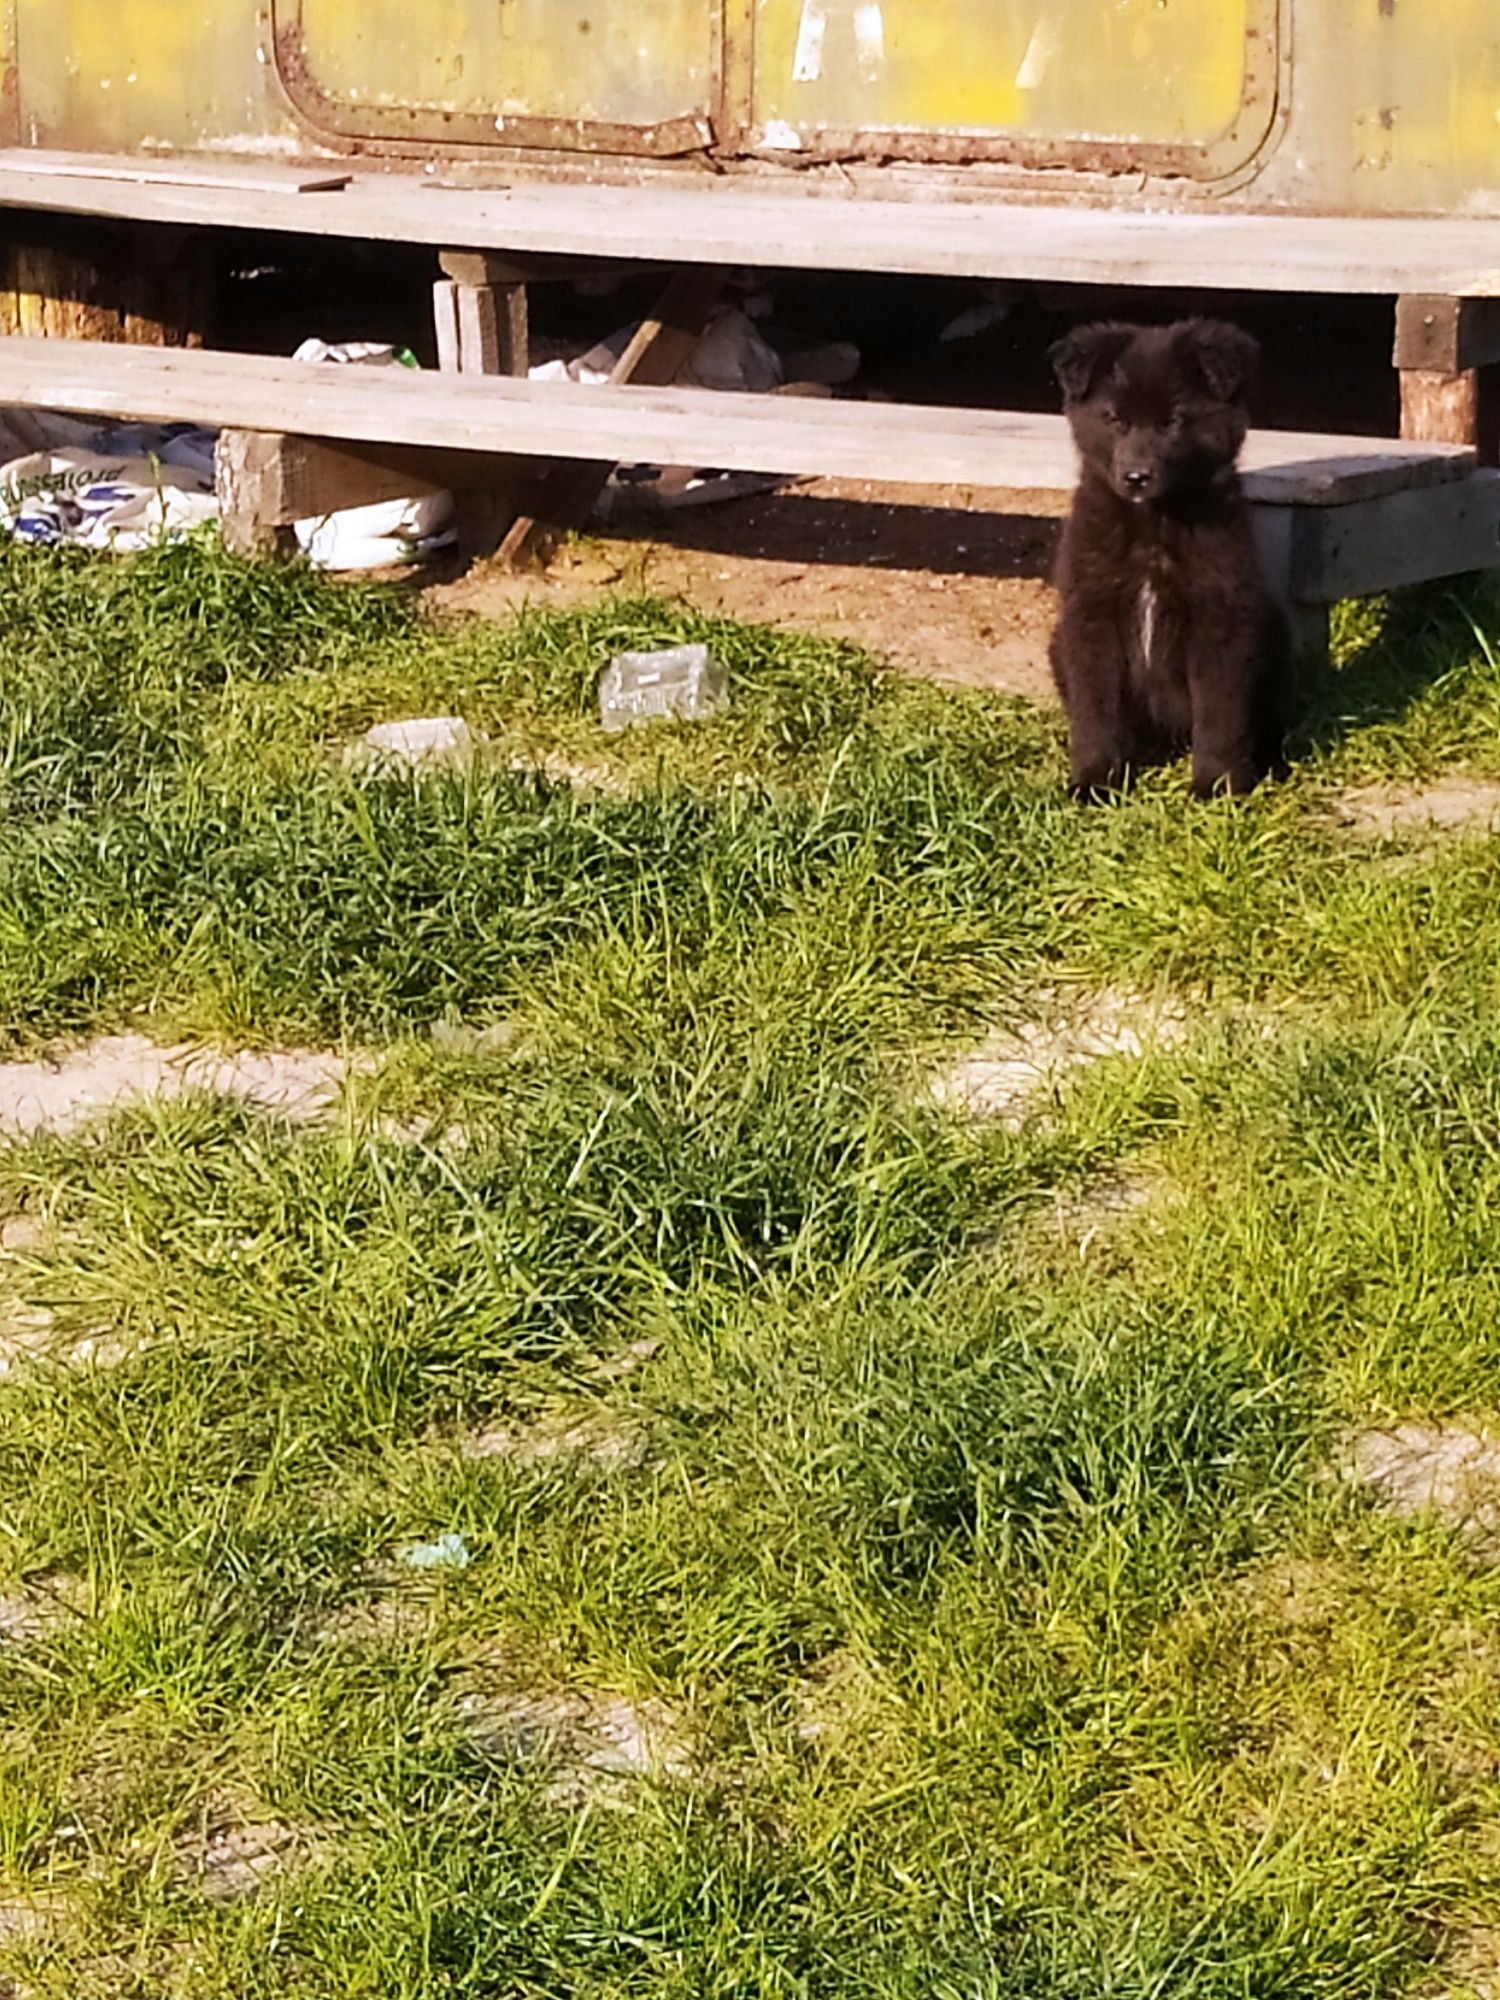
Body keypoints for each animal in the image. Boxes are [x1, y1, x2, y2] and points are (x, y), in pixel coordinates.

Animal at [1048, 316, 1296, 800]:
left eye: (1175, 421)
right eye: (1115, 419)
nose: (1136, 477)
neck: (1154, 526)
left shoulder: (1222, 616)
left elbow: (1221, 712)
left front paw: (1217, 784)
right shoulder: (1090, 614)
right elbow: (1095, 707)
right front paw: (1095, 780)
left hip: (1274, 637)